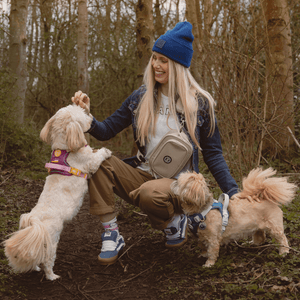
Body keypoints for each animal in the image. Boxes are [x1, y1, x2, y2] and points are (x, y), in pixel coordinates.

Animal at [3, 103, 111, 282]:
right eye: (82, 116)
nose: (91, 119)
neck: (65, 148)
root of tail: (34, 220)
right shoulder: (89, 163)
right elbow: (97, 157)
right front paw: (106, 151)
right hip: (52, 241)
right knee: (47, 260)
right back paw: (52, 276)